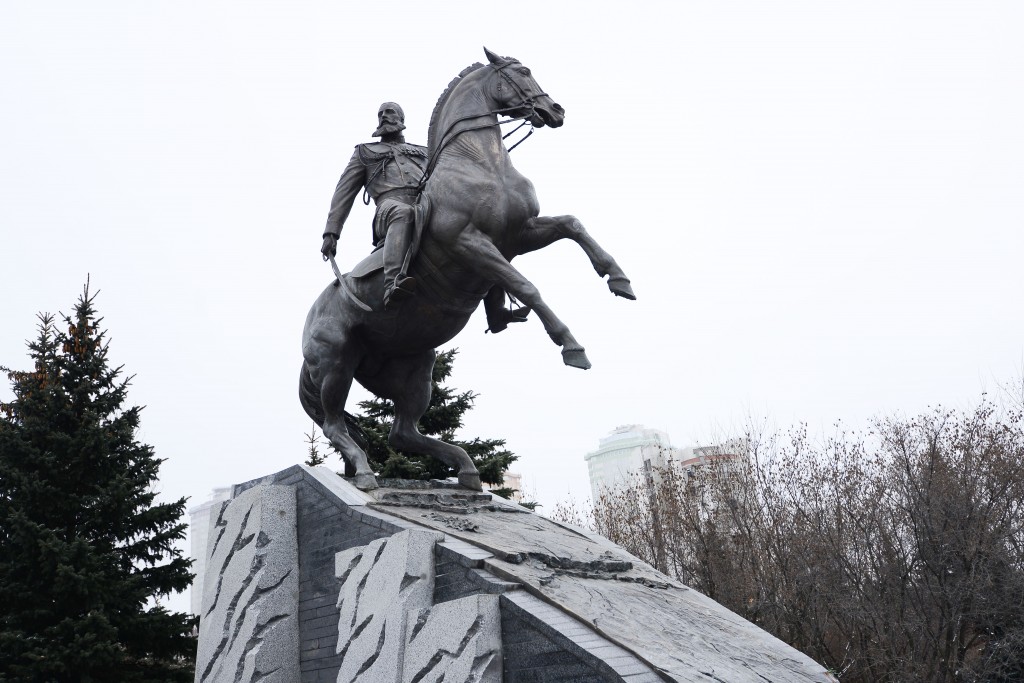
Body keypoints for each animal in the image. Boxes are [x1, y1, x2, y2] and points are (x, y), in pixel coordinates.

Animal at [299, 48, 630, 493]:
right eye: (523, 72)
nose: (554, 110)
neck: (479, 162)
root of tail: (308, 324)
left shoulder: (518, 236)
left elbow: (572, 225)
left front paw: (618, 278)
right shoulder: (470, 244)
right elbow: (528, 286)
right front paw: (571, 346)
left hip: (415, 370)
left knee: (401, 432)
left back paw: (467, 470)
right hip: (335, 364)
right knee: (336, 425)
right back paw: (367, 472)